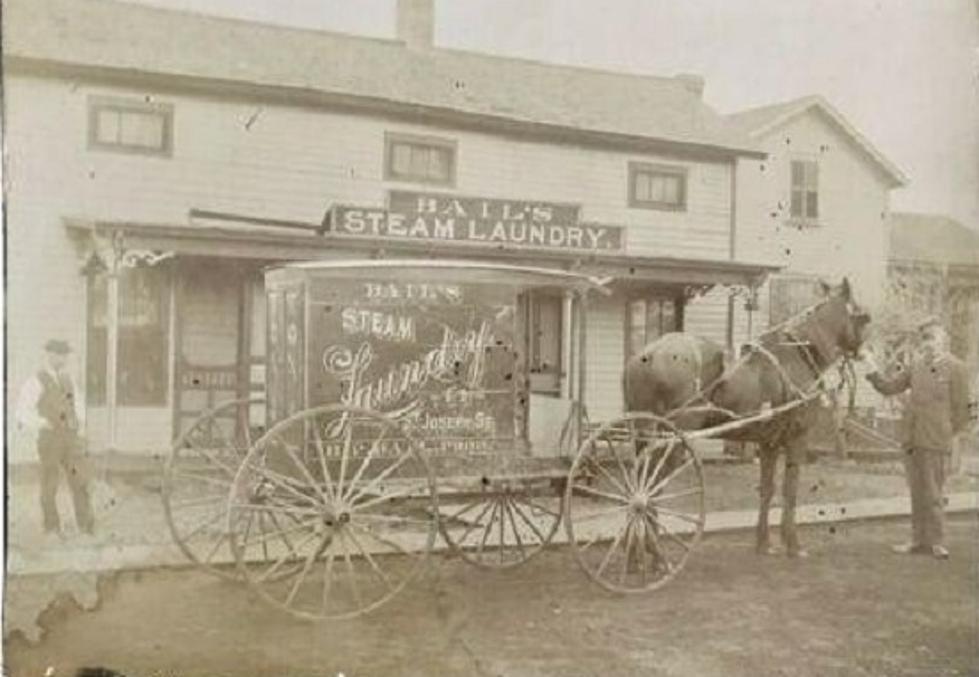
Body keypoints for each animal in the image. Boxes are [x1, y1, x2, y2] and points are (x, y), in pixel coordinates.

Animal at [624, 278, 868, 556]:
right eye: (863, 317)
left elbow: (767, 489)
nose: (862, 351)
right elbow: (790, 491)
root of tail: (645, 356)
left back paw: (637, 545)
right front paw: (793, 544)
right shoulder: (797, 437)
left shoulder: (770, 442)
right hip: (674, 439)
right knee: (652, 486)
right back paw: (652, 548)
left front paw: (763, 542)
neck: (800, 356)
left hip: (643, 432)